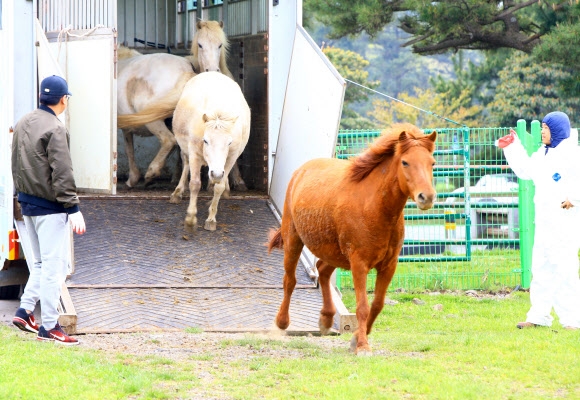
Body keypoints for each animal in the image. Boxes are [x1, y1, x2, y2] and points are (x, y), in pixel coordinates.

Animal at [118, 21, 245, 189]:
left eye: (220, 45)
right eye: (200, 45)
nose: (212, 70)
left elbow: (128, 149)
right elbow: (129, 147)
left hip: (154, 120)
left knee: (168, 140)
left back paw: (152, 173)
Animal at [168, 72, 249, 231]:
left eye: (229, 142)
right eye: (205, 140)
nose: (216, 173)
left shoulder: (231, 157)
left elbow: (219, 186)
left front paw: (211, 219)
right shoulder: (194, 152)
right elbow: (194, 184)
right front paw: (191, 218)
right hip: (185, 148)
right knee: (185, 164)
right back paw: (178, 192)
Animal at [268, 123, 436, 354]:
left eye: (432, 163)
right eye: (405, 162)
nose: (426, 197)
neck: (375, 207)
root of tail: (301, 170)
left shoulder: (389, 265)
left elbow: (377, 304)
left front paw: (357, 338)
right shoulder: (359, 263)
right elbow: (362, 306)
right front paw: (363, 346)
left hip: (334, 253)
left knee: (322, 270)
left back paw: (326, 318)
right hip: (293, 240)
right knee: (290, 280)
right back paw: (282, 322)